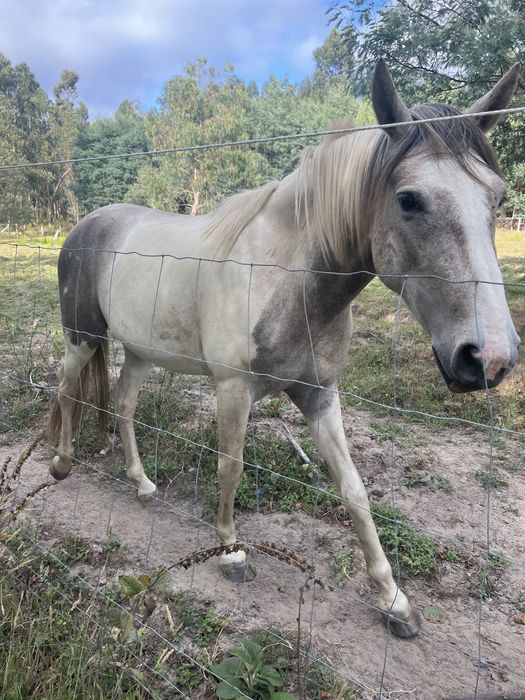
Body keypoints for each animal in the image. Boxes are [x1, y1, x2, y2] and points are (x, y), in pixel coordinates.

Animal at [49, 60, 520, 637]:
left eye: (497, 197)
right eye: (409, 199)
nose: (489, 358)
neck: (288, 278)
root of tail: (87, 224)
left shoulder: (319, 395)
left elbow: (354, 490)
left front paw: (393, 598)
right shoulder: (233, 390)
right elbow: (230, 467)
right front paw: (231, 553)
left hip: (138, 351)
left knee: (123, 405)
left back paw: (141, 483)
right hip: (81, 339)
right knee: (67, 391)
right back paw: (62, 465)